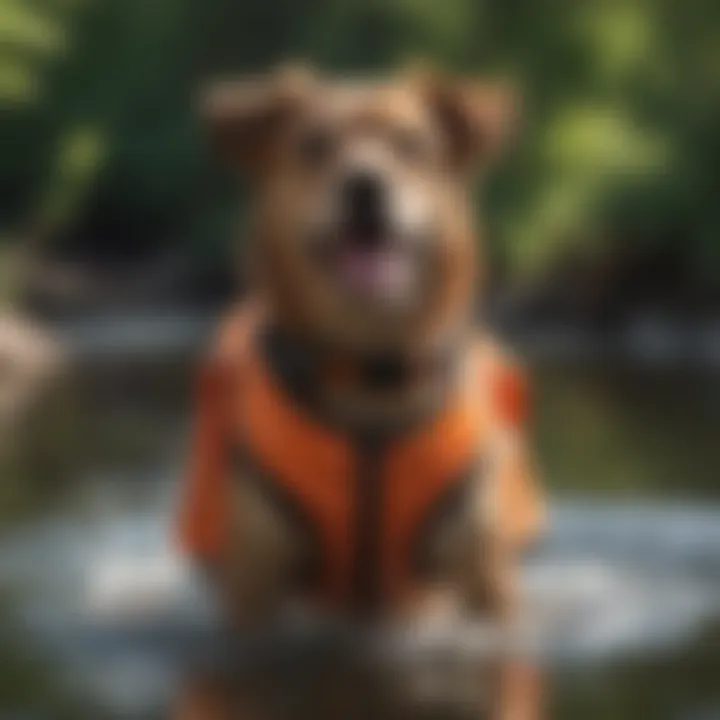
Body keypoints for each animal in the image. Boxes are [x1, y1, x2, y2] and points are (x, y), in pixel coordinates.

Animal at [177, 64, 544, 640]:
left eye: (412, 145)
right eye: (314, 144)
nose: (365, 185)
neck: (371, 369)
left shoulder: (485, 577)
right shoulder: (254, 582)